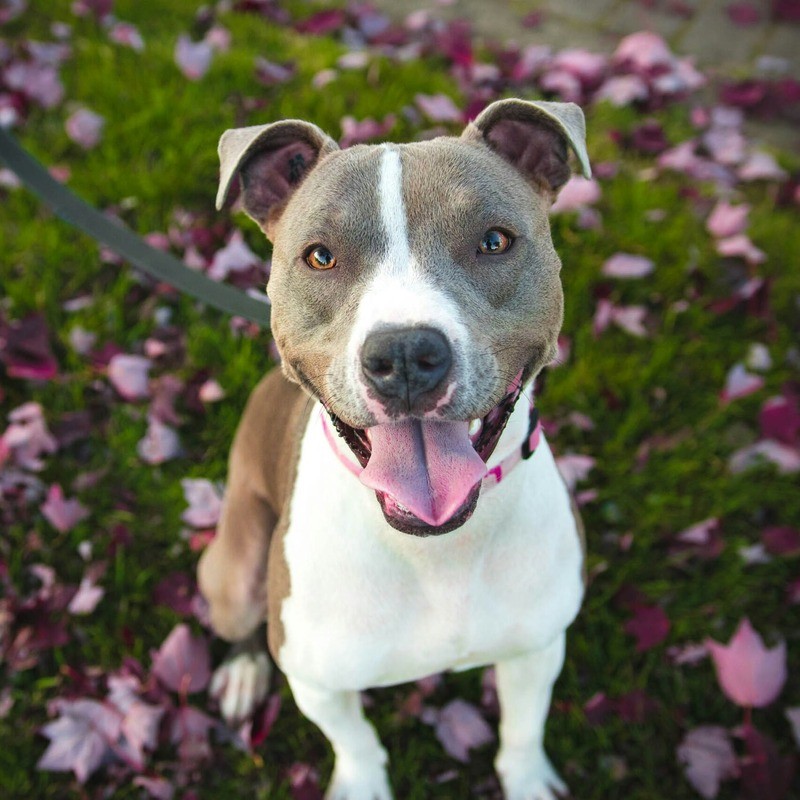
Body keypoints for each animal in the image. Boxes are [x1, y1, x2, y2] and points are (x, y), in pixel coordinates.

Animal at [198, 98, 592, 800]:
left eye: (495, 241)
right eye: (320, 256)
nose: (406, 352)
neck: (437, 546)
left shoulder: (537, 648)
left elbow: (522, 732)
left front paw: (526, 781)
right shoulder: (318, 681)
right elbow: (355, 743)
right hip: (235, 570)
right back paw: (243, 673)